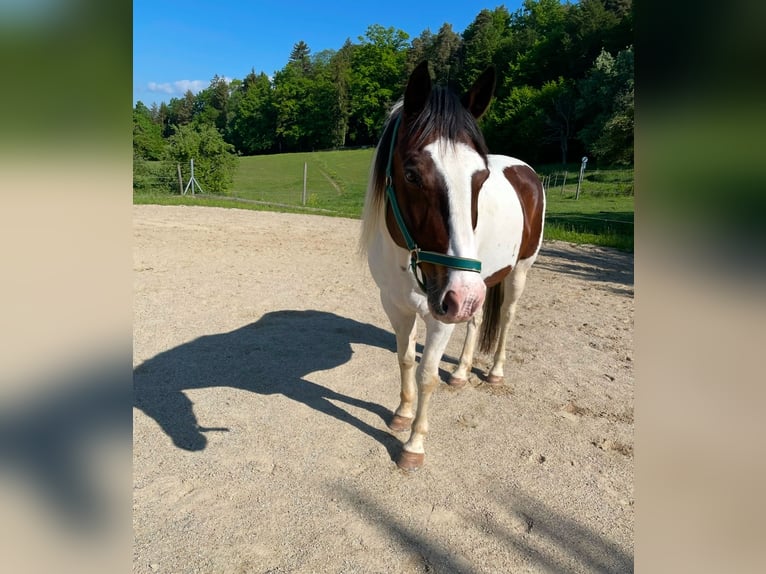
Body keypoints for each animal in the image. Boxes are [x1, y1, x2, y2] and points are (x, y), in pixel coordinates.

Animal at [358, 62, 544, 472]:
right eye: (411, 174)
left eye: (481, 178)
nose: (461, 296)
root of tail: (526, 170)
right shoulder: (395, 305)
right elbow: (405, 359)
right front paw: (401, 414)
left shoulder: (439, 314)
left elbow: (427, 373)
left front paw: (413, 445)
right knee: (476, 320)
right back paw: (460, 373)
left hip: (515, 274)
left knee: (506, 317)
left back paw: (494, 372)